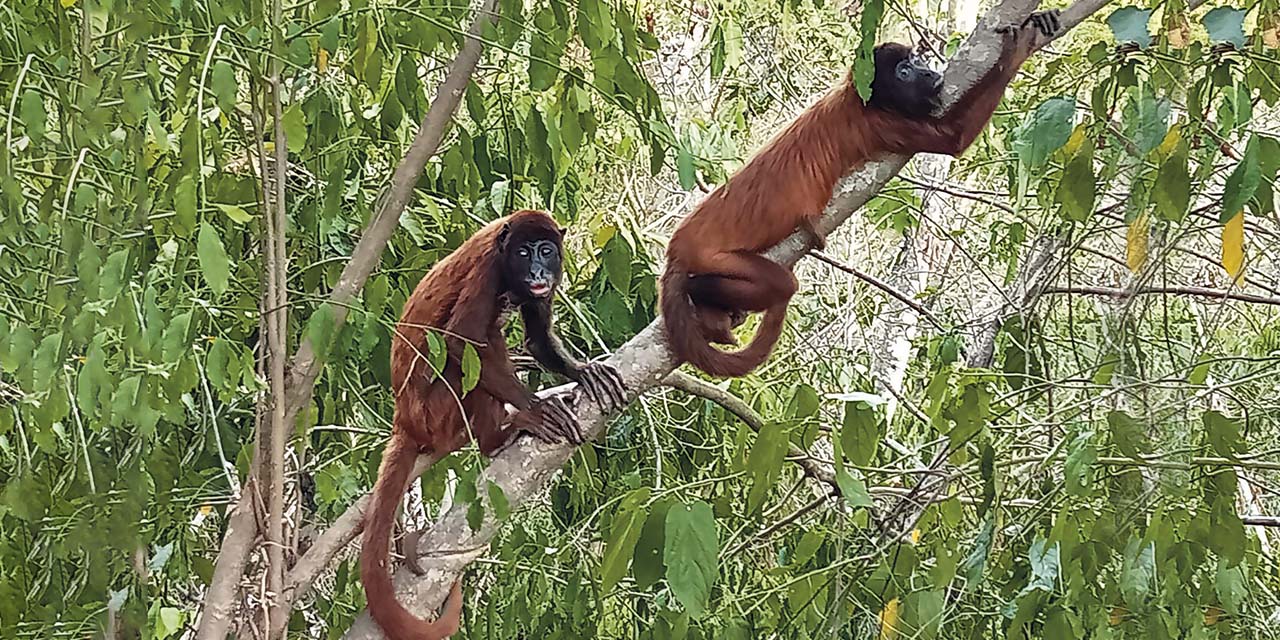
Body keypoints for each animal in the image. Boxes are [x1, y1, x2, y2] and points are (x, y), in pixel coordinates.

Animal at [360, 209, 624, 640]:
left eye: (546, 250)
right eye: (523, 252)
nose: (537, 270)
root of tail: (405, 419)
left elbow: (537, 338)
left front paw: (583, 372)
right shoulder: (487, 270)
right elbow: (460, 343)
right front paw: (535, 408)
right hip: (438, 410)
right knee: (475, 349)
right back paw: (498, 435)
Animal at [660, 10, 1059, 376]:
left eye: (916, 61)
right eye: (904, 72)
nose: (929, 73)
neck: (859, 97)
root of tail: (676, 247)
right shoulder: (882, 122)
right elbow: (953, 137)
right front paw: (1018, 50)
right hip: (710, 255)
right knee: (781, 283)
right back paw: (702, 292)